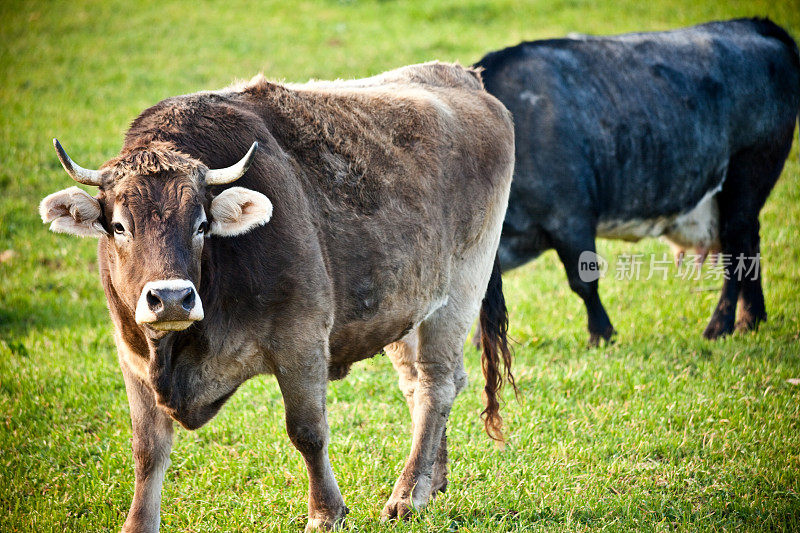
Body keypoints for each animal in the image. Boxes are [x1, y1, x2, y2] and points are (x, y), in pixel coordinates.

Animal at [42, 61, 520, 528]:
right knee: (417, 385)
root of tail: (460, 76)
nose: (173, 298)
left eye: (201, 224)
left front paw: (326, 513)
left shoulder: (301, 340)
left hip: (459, 291)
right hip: (404, 306)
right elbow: (147, 450)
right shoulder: (133, 354)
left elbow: (307, 432)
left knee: (438, 384)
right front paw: (138, 523)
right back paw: (432, 481)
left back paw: (407, 495)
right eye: (119, 226)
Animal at [478, 18, 796, 342]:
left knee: (736, 245)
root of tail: (754, 25)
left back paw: (720, 325)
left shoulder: (570, 217)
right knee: (750, 242)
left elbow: (584, 282)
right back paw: (751, 318)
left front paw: (601, 334)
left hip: (749, 171)